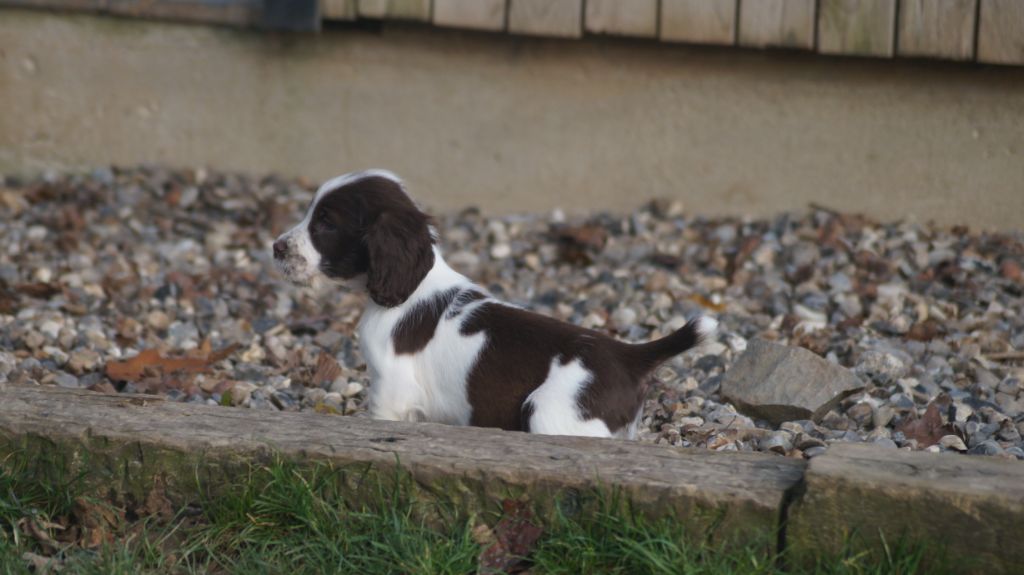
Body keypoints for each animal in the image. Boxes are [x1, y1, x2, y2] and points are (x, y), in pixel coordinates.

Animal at [276, 169, 716, 437]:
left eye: (326, 223)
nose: (276, 248)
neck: (413, 287)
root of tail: (628, 355)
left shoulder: (391, 394)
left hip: (550, 414)